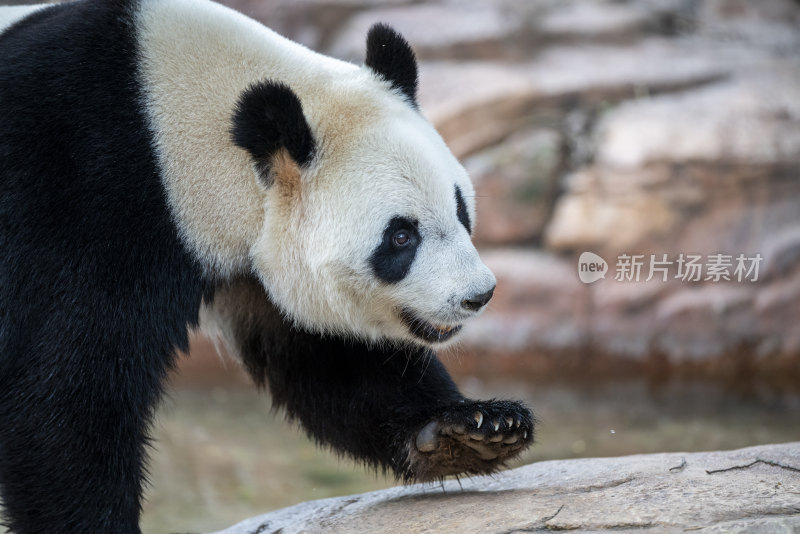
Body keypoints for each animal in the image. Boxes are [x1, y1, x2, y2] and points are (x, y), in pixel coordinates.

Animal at [1, 1, 536, 534]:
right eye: (401, 237)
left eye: (461, 209)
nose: (477, 295)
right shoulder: (82, 193)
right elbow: (64, 392)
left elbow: (326, 355)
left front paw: (473, 429)